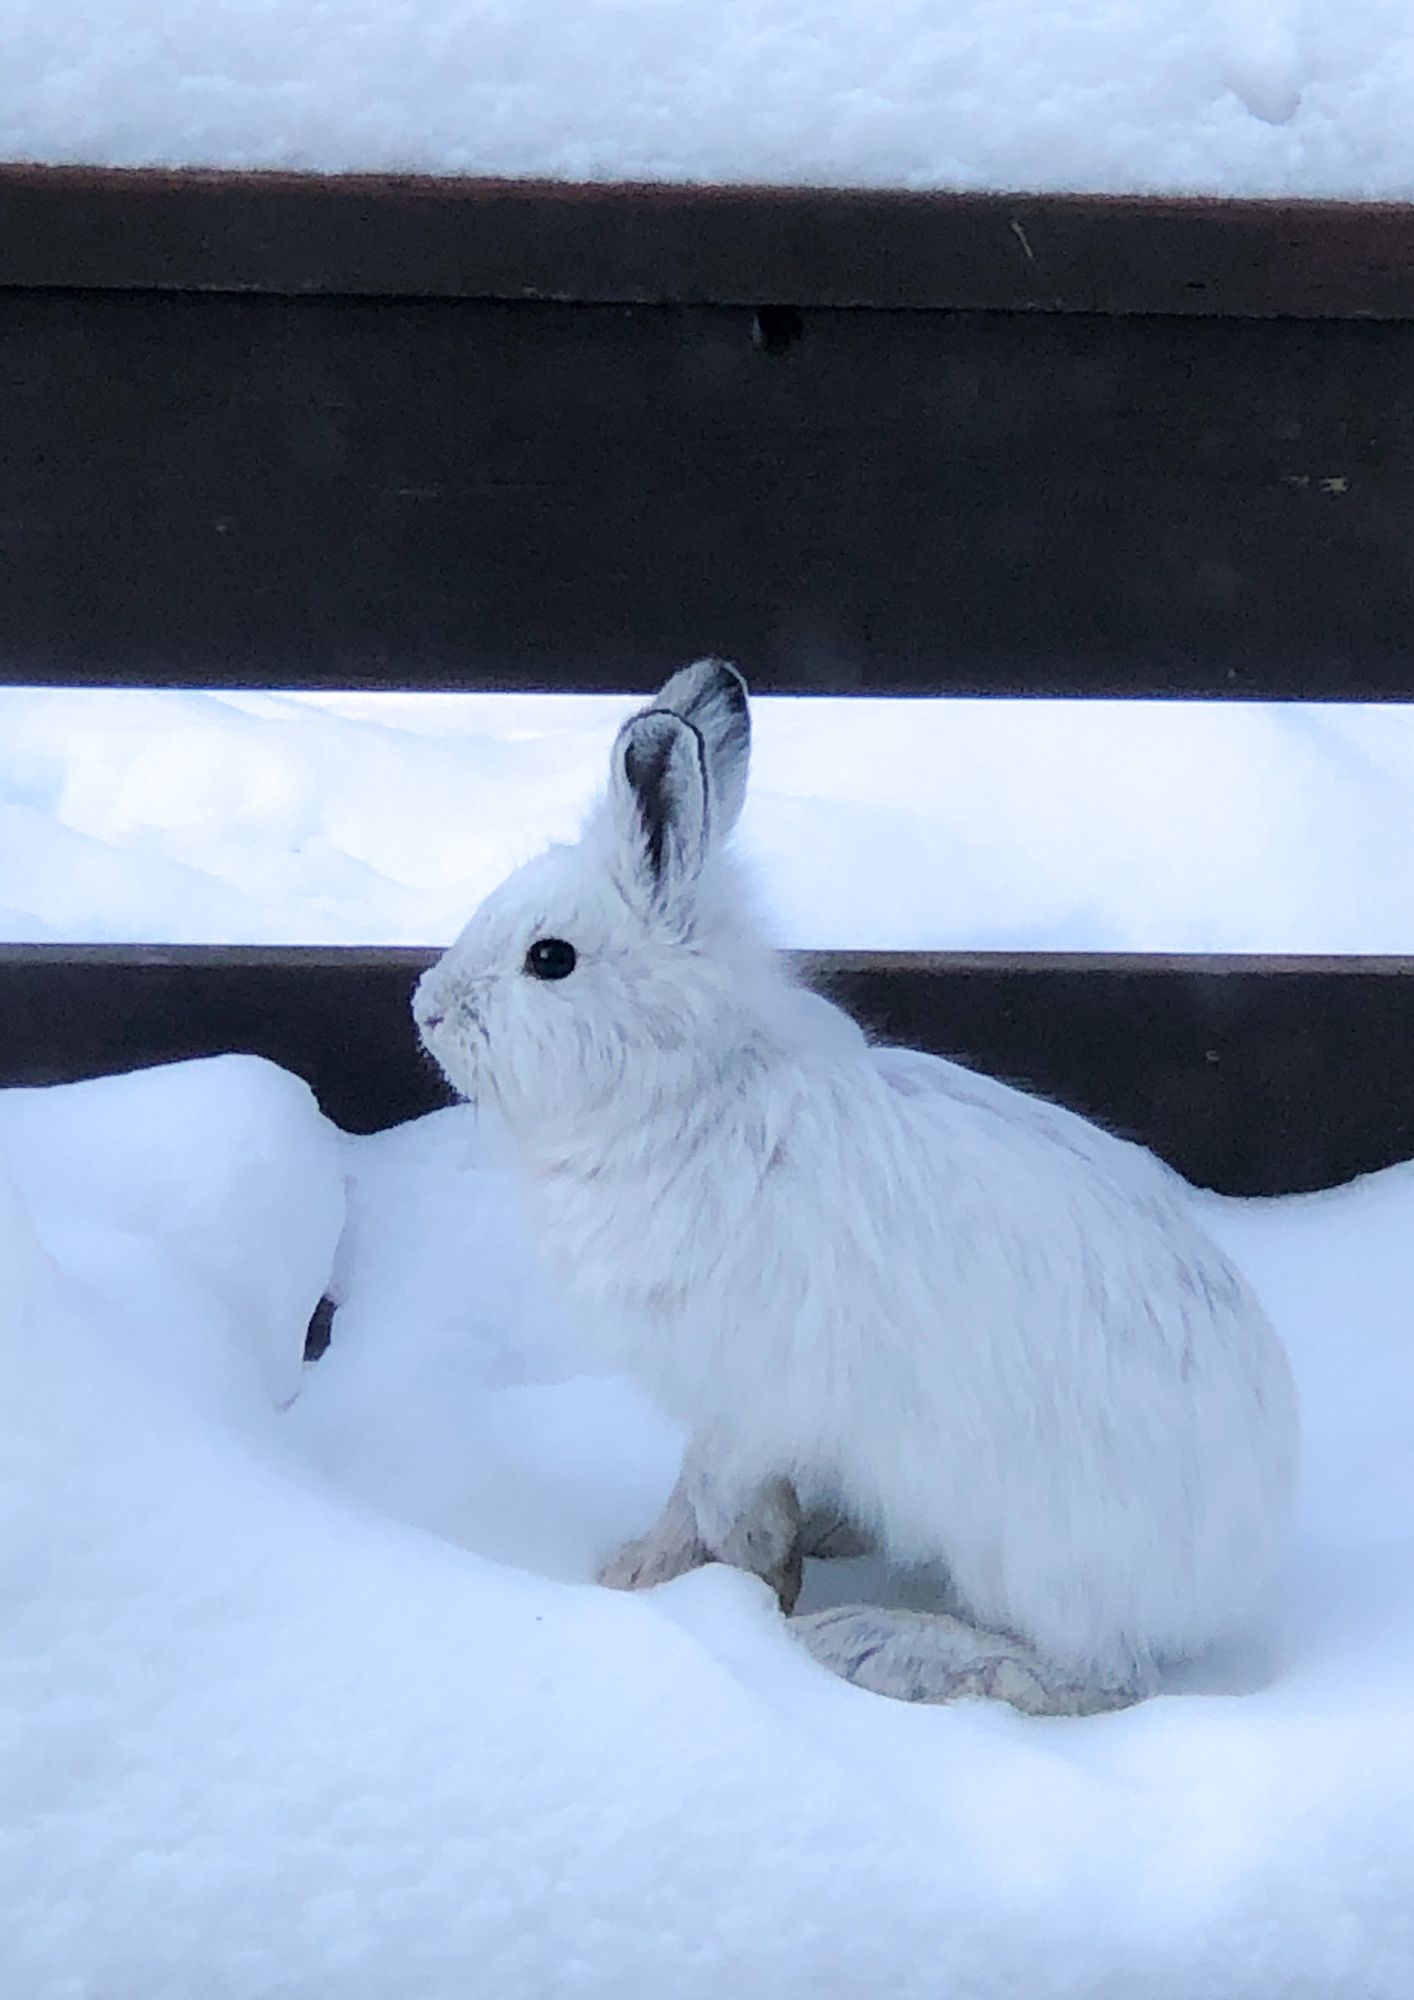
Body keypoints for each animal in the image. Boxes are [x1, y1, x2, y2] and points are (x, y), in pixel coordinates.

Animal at [414, 660, 1299, 1715]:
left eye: (550, 959)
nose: (424, 1008)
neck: (697, 1087)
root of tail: (1233, 1565)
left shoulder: (744, 1394)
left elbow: (720, 1498)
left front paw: (721, 1580)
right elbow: (687, 1493)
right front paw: (643, 1566)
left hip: (1028, 1545)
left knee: (1093, 1677)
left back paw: (874, 1645)